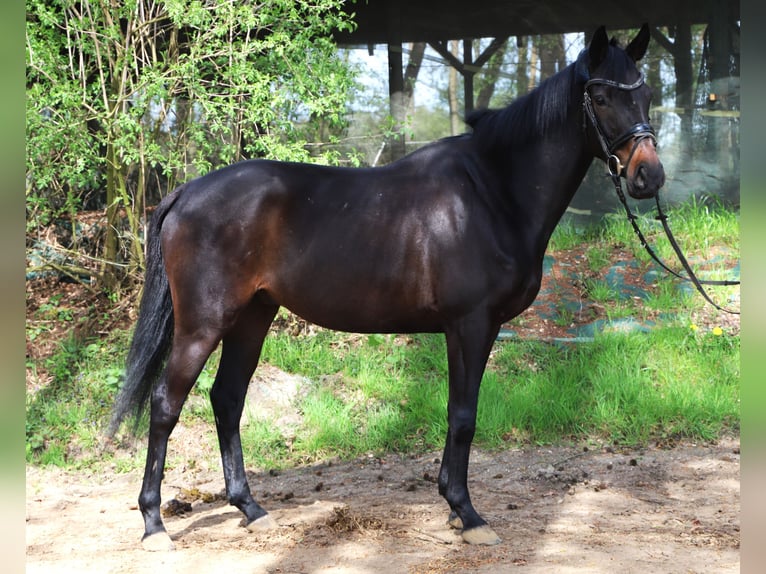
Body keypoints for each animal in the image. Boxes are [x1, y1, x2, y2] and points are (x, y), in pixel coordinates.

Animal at [109, 24, 664, 551]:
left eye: (646, 93)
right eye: (600, 97)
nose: (649, 176)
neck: (490, 191)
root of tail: (185, 193)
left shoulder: (469, 329)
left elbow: (458, 414)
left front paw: (453, 509)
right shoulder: (470, 325)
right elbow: (464, 415)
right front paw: (468, 514)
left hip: (253, 316)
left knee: (227, 399)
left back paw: (251, 509)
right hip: (204, 324)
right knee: (166, 404)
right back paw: (154, 525)